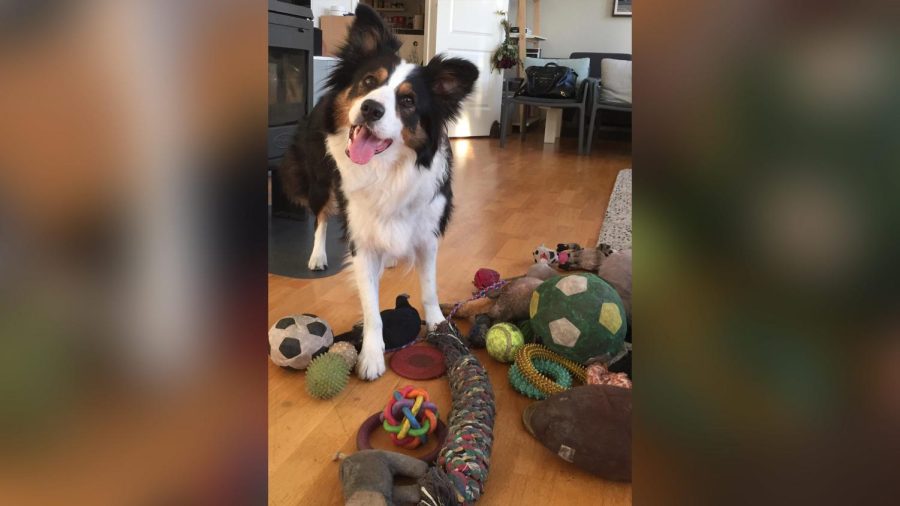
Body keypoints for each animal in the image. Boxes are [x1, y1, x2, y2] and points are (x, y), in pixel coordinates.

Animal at [280, 4, 478, 380]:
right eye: (369, 82)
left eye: (409, 100)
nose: (371, 108)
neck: (388, 170)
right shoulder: (361, 239)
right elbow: (371, 307)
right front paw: (371, 355)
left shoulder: (427, 233)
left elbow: (429, 288)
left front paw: (438, 324)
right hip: (320, 181)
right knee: (321, 217)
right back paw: (317, 256)